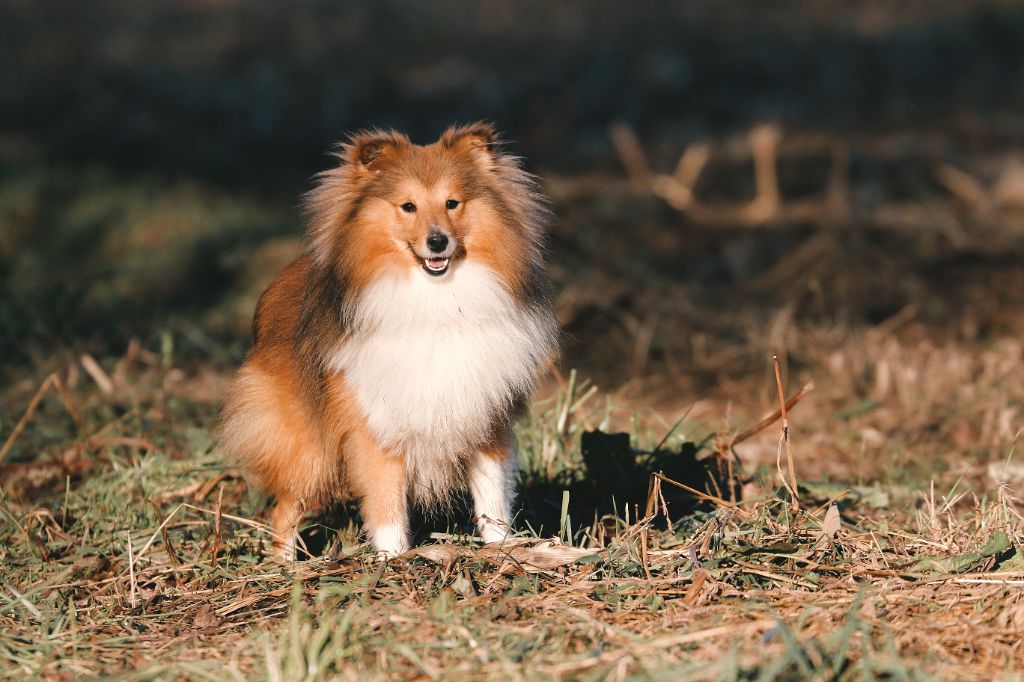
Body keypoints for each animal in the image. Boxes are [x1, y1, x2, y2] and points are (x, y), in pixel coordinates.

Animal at [218, 122, 561, 557]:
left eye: (452, 203)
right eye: (408, 206)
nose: (437, 242)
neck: (436, 304)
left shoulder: (487, 418)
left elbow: (493, 498)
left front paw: (503, 552)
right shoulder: (374, 425)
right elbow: (387, 507)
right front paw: (393, 560)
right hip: (305, 445)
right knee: (284, 509)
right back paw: (286, 564)